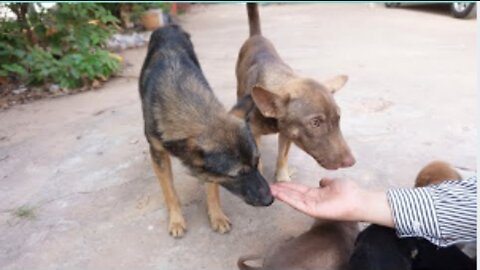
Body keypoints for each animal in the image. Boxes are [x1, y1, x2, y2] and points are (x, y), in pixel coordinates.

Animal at [140, 24, 274, 237]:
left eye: (257, 162)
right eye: (236, 175)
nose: (270, 200)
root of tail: (168, 26)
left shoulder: (209, 168)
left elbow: (212, 188)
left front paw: (217, 216)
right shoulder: (158, 154)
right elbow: (170, 192)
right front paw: (176, 220)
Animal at [237, 3, 356, 181]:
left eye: (338, 118)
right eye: (315, 123)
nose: (351, 162)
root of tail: (256, 36)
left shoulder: (287, 134)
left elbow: (282, 157)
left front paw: (282, 178)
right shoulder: (255, 134)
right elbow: (258, 163)